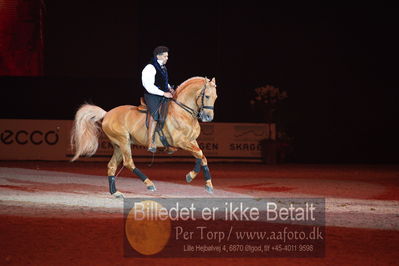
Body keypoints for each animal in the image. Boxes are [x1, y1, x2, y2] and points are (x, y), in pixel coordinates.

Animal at [70, 77, 217, 197]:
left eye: (215, 97)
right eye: (207, 96)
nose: (208, 117)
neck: (182, 111)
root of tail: (107, 114)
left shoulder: (191, 140)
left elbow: (201, 156)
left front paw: (205, 183)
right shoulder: (181, 141)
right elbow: (199, 154)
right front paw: (191, 176)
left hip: (119, 145)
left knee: (111, 166)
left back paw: (115, 192)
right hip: (123, 141)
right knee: (128, 163)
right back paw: (149, 184)